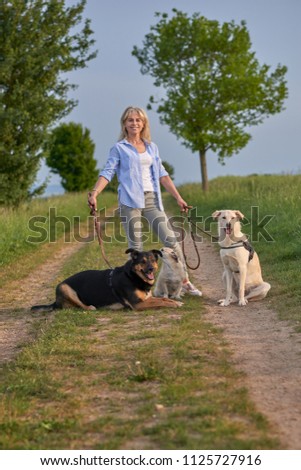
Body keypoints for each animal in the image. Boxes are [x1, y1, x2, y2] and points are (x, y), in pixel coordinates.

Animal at [30, 250, 182, 312]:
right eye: (142, 261)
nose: (150, 269)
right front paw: (174, 304)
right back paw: (90, 307)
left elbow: (163, 299)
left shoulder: (146, 299)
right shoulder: (137, 304)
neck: (133, 276)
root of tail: (55, 301)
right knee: (81, 306)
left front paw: (176, 301)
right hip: (64, 287)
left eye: (152, 260)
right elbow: (161, 301)